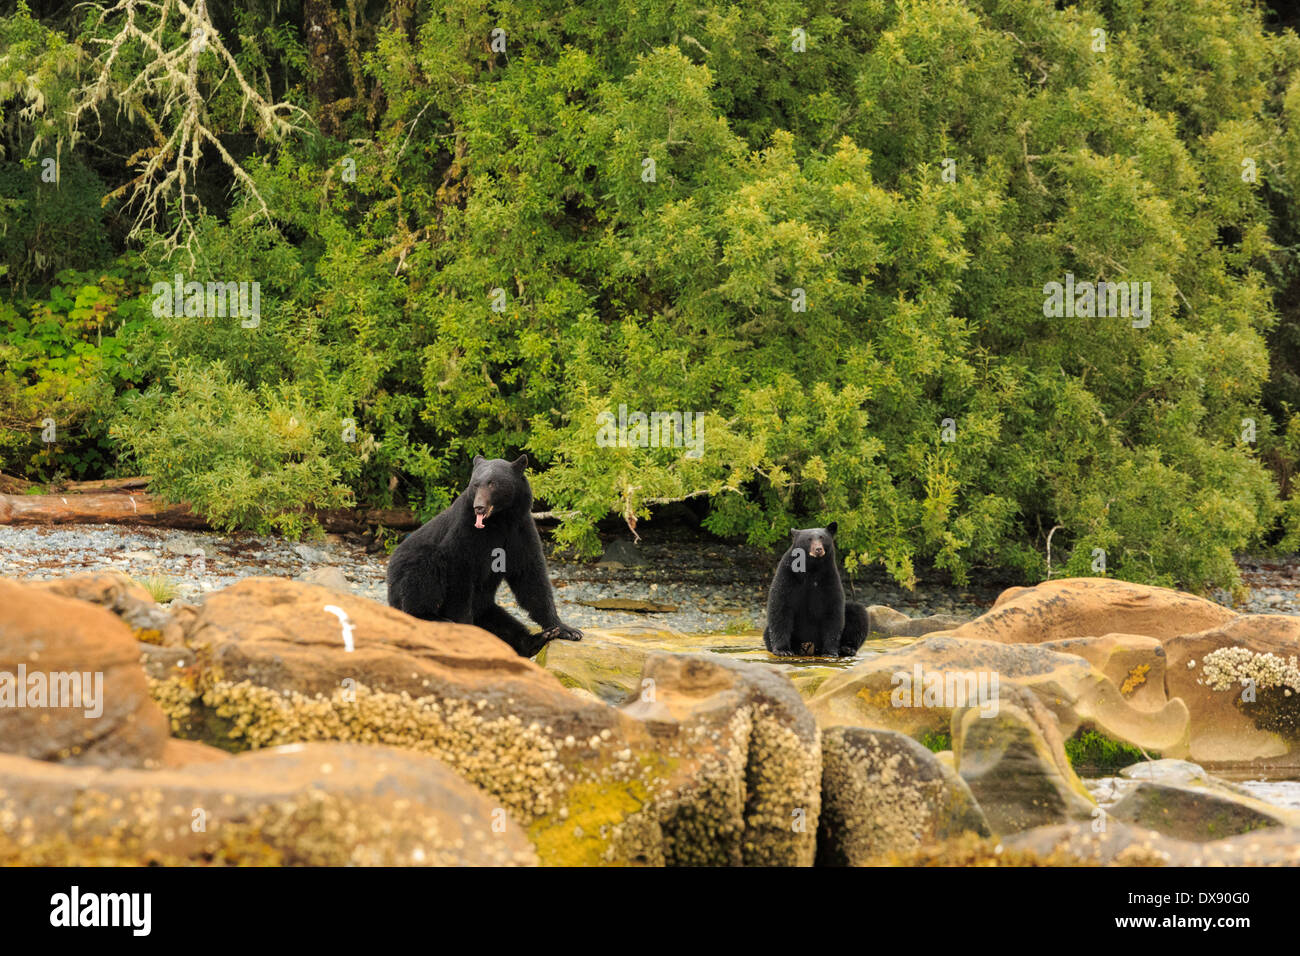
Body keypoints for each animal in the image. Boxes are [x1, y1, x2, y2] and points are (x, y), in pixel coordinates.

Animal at [382, 455, 582, 658]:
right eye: (475, 484)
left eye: (492, 483)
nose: (478, 507)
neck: (499, 521)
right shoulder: (465, 532)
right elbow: (458, 578)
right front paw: (464, 629)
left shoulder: (520, 530)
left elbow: (530, 577)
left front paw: (565, 629)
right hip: (409, 572)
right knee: (423, 573)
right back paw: (433, 618)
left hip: (485, 607)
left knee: (503, 623)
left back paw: (536, 640)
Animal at [764, 522, 868, 658]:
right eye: (809, 539)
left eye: (822, 538)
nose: (818, 549)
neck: (811, 568)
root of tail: (810, 645)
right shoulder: (787, 575)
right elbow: (780, 606)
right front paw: (783, 650)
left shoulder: (828, 578)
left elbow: (833, 610)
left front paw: (830, 652)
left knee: (857, 612)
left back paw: (847, 648)